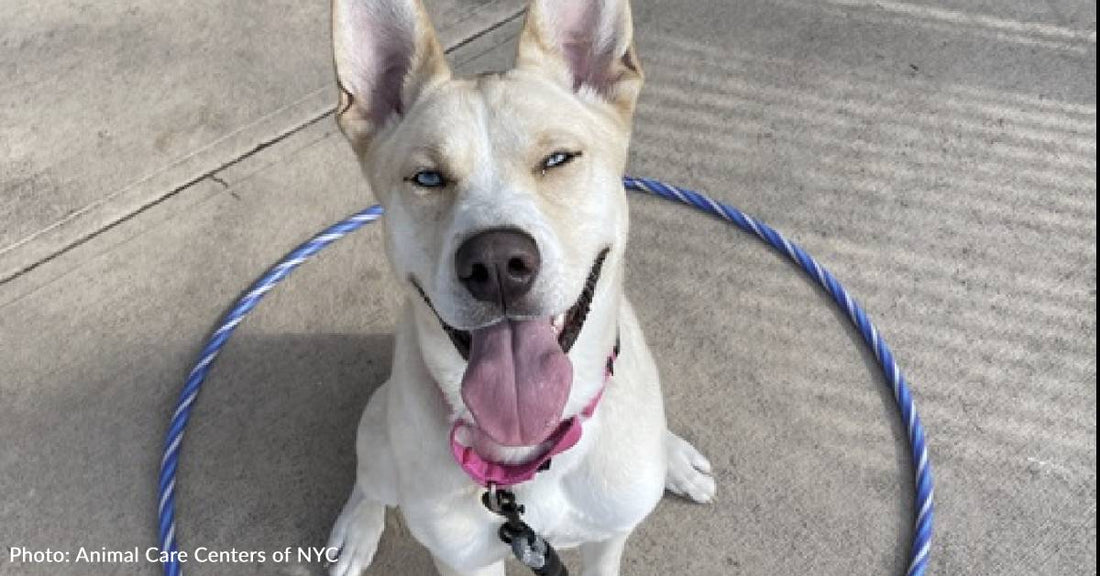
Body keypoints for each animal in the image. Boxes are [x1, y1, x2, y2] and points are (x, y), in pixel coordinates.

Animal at [325, 0, 717, 571]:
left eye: (558, 159)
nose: (495, 264)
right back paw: (357, 529)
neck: (530, 456)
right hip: (378, 426)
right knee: (370, 481)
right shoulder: (467, 562)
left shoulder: (608, 537)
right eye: (427, 178)